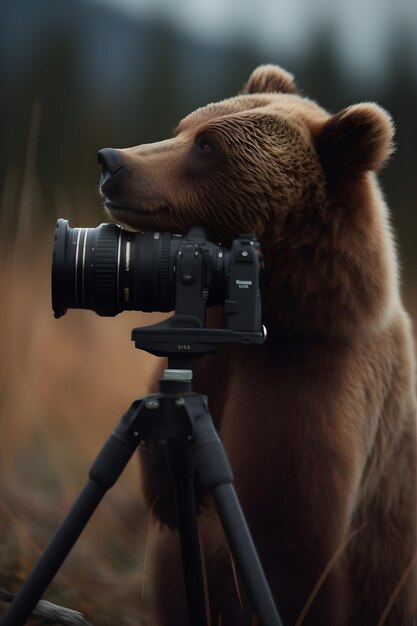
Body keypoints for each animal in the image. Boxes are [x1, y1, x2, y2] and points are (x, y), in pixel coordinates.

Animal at [100, 64, 416, 624]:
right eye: (185, 127)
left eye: (207, 146)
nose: (112, 161)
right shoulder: (218, 360)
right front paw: (168, 490)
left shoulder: (314, 383)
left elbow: (287, 545)